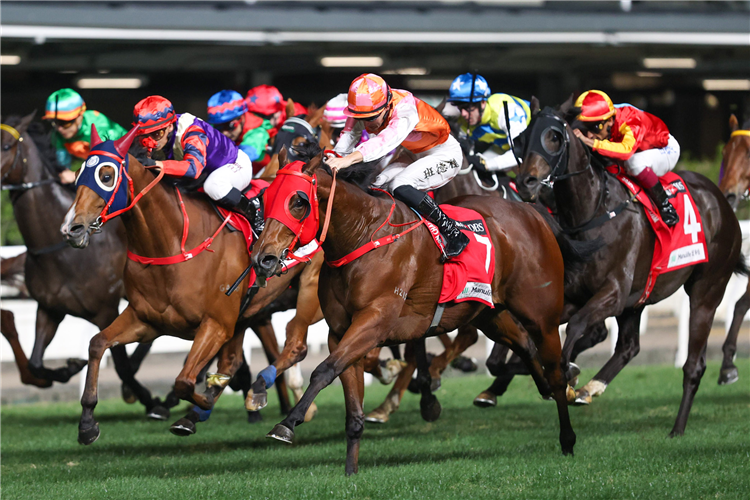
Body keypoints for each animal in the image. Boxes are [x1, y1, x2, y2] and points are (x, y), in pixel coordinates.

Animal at [59, 128, 314, 446]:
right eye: (78, 175)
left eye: (106, 175)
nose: (72, 229)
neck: (170, 243)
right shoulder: (146, 320)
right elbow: (97, 344)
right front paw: (87, 424)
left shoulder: (216, 323)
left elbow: (184, 380)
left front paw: (204, 402)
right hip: (248, 313)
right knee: (234, 359)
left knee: (298, 347)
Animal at [253, 146, 576, 476]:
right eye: (266, 198)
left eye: (298, 202)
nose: (263, 259)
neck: (362, 235)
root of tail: (530, 212)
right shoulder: (341, 332)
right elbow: (350, 403)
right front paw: (350, 470)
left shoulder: (374, 322)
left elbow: (323, 370)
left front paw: (287, 423)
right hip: (489, 313)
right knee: (525, 345)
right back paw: (540, 388)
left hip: (542, 316)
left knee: (555, 369)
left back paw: (567, 436)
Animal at [516, 99, 748, 436]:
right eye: (523, 137)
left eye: (555, 137)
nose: (526, 182)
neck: (593, 212)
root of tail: (723, 202)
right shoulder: (577, 295)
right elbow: (541, 327)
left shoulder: (613, 292)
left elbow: (576, 325)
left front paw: (566, 369)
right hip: (638, 299)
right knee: (628, 346)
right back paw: (591, 388)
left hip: (707, 290)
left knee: (694, 364)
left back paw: (678, 427)